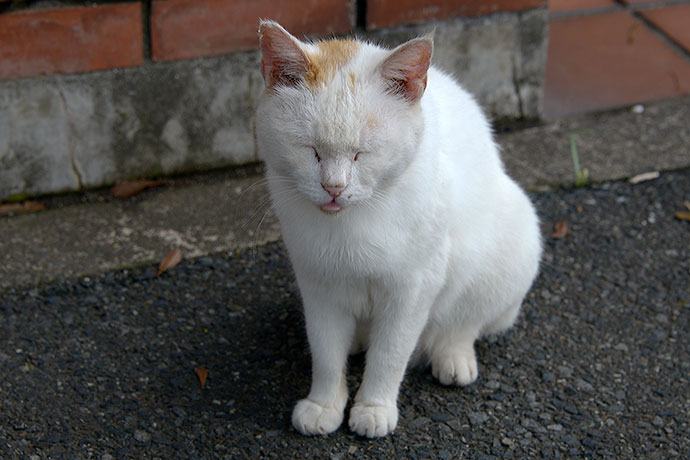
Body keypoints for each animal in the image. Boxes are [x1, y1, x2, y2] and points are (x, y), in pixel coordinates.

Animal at [253, 20, 536, 438]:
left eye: (362, 154)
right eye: (311, 151)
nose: (334, 187)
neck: (350, 226)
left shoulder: (412, 290)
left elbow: (390, 355)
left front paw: (374, 407)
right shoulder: (318, 287)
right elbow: (325, 354)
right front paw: (324, 405)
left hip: (512, 243)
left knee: (466, 322)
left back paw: (453, 358)